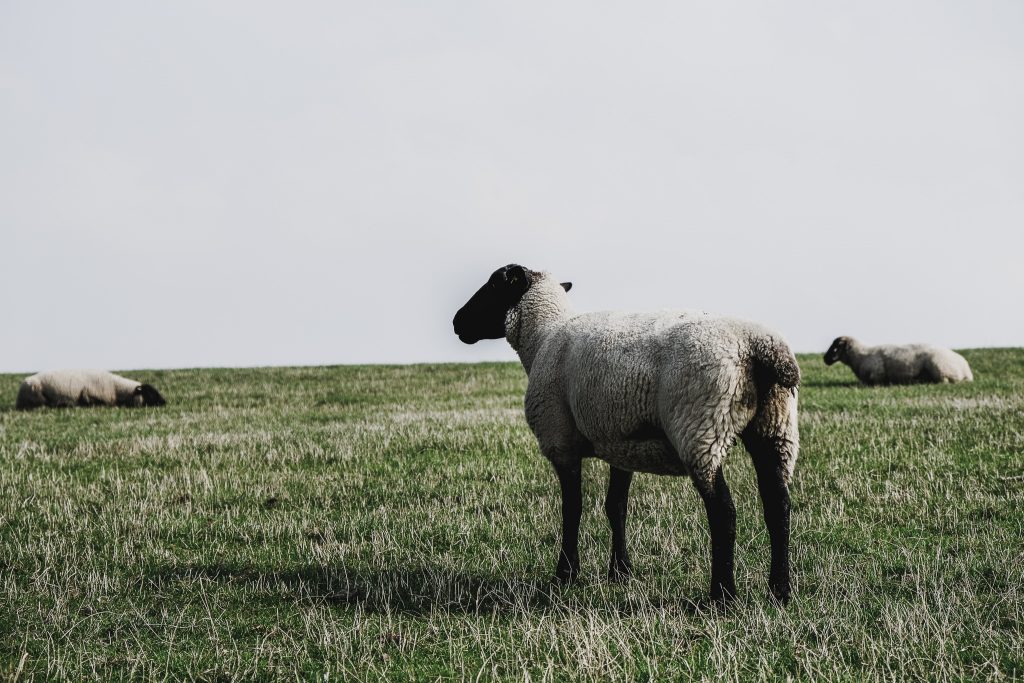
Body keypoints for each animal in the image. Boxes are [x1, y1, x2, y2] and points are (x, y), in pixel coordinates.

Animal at [454, 264, 798, 602]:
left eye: (494, 284)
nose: (457, 322)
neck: (543, 336)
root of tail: (761, 347)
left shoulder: (561, 441)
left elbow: (572, 509)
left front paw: (565, 574)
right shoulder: (620, 444)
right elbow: (615, 506)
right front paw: (620, 571)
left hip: (701, 429)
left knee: (724, 511)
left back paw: (723, 594)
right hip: (775, 428)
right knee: (778, 505)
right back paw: (780, 590)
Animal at [819, 335, 970, 385]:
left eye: (836, 347)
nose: (825, 359)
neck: (860, 355)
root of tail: (967, 370)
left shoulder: (876, 375)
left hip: (940, 369)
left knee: (943, 381)